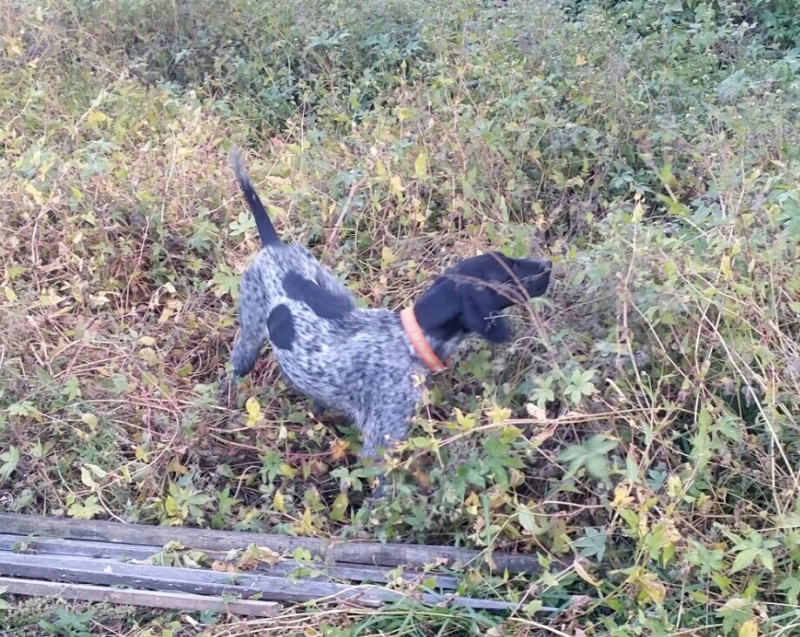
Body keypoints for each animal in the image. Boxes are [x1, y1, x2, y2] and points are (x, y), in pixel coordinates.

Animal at [225, 146, 552, 497]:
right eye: (507, 270)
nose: (548, 264)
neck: (411, 337)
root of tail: (274, 246)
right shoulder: (381, 445)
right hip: (248, 341)